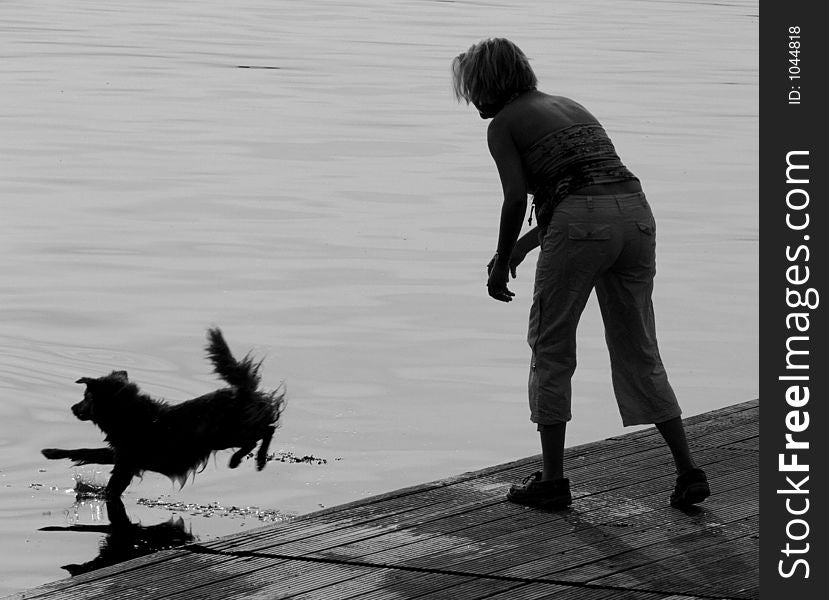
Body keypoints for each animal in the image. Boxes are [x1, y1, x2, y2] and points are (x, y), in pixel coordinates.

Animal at [41, 328, 284, 496]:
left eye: (86, 397)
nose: (72, 408)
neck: (131, 415)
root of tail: (244, 391)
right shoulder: (121, 454)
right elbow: (86, 451)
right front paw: (53, 452)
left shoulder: (126, 464)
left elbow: (109, 483)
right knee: (265, 431)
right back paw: (247, 459)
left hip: (226, 434)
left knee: (265, 431)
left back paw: (248, 459)